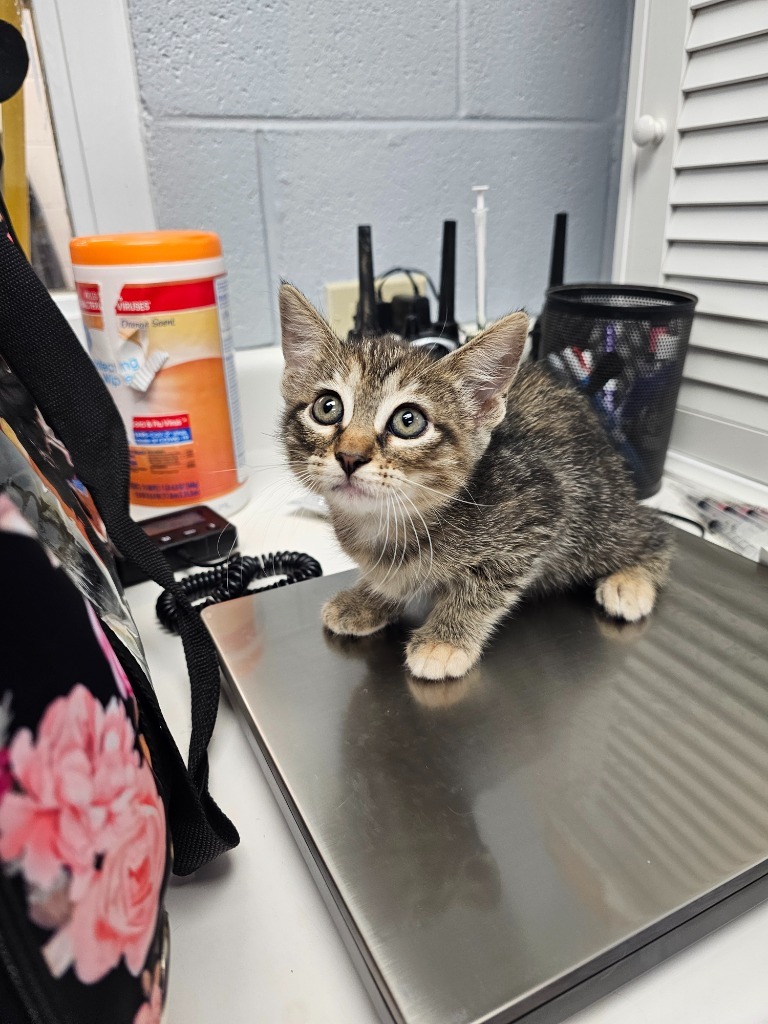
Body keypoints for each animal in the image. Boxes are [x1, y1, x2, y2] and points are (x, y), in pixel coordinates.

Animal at [280, 284, 671, 679]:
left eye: (408, 421)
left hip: (591, 516)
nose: (349, 456)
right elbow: (392, 578)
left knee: (655, 529)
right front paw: (370, 597)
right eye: (327, 407)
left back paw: (631, 581)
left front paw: (445, 638)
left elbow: (486, 583)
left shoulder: (544, 506)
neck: (390, 522)